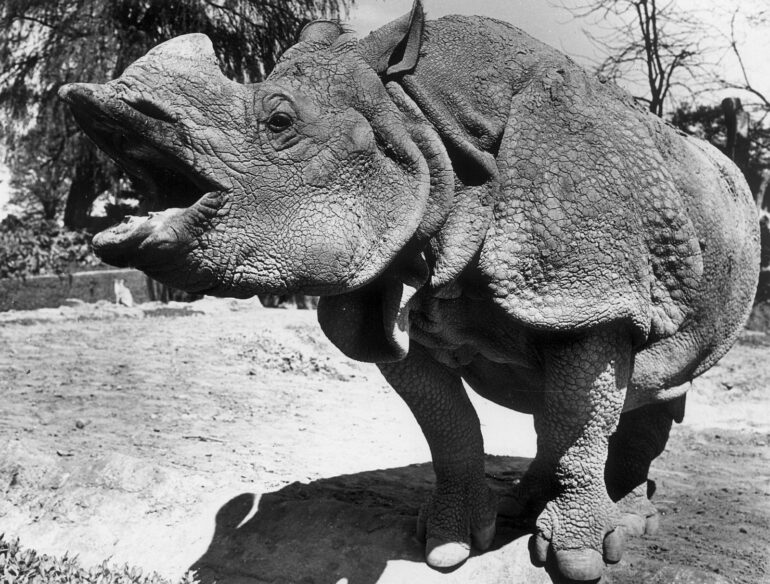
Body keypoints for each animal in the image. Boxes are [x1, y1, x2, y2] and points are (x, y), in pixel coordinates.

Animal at [59, 2, 760, 581]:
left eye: (279, 121)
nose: (96, 103)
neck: (421, 128)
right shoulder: (386, 280)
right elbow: (445, 420)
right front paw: (452, 544)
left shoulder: (590, 287)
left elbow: (580, 416)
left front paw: (581, 560)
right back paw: (528, 502)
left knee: (651, 386)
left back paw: (626, 518)